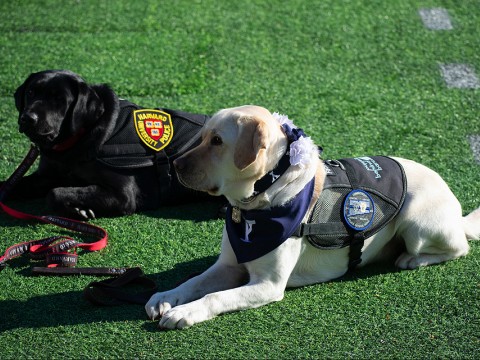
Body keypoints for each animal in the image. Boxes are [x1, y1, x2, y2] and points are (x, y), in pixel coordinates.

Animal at [2, 69, 210, 218]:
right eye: (31, 92)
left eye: (60, 99)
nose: (28, 118)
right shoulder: (46, 175)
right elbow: (9, 184)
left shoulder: (124, 194)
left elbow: (54, 193)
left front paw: (78, 210)